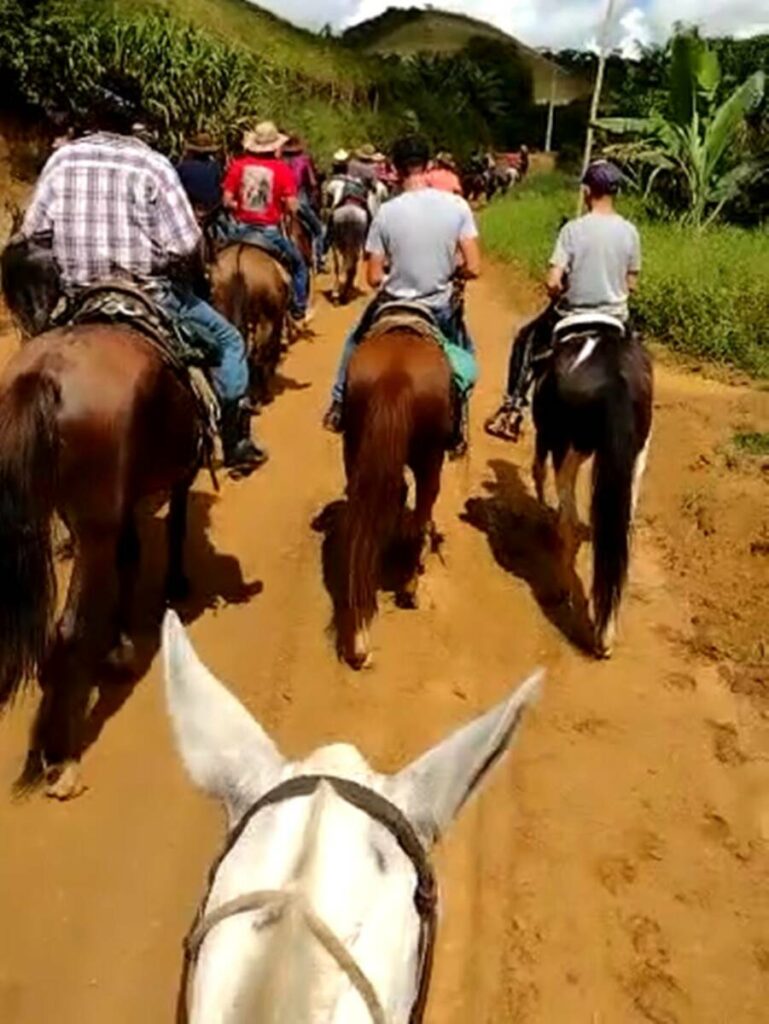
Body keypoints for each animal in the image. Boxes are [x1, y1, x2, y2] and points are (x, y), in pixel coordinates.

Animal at [0, 247, 201, 798]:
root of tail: (45, 375)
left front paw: (118, 645)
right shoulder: (179, 472)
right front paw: (177, 584)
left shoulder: (121, 499)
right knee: (65, 629)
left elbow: (130, 555)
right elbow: (175, 526)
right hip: (92, 523)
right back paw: (60, 757)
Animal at [532, 315, 651, 659]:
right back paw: (605, 634)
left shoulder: (545, 436)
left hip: (566, 447)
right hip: (637, 455)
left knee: (569, 520)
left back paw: (561, 589)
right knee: (620, 532)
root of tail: (617, 380)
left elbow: (537, 471)